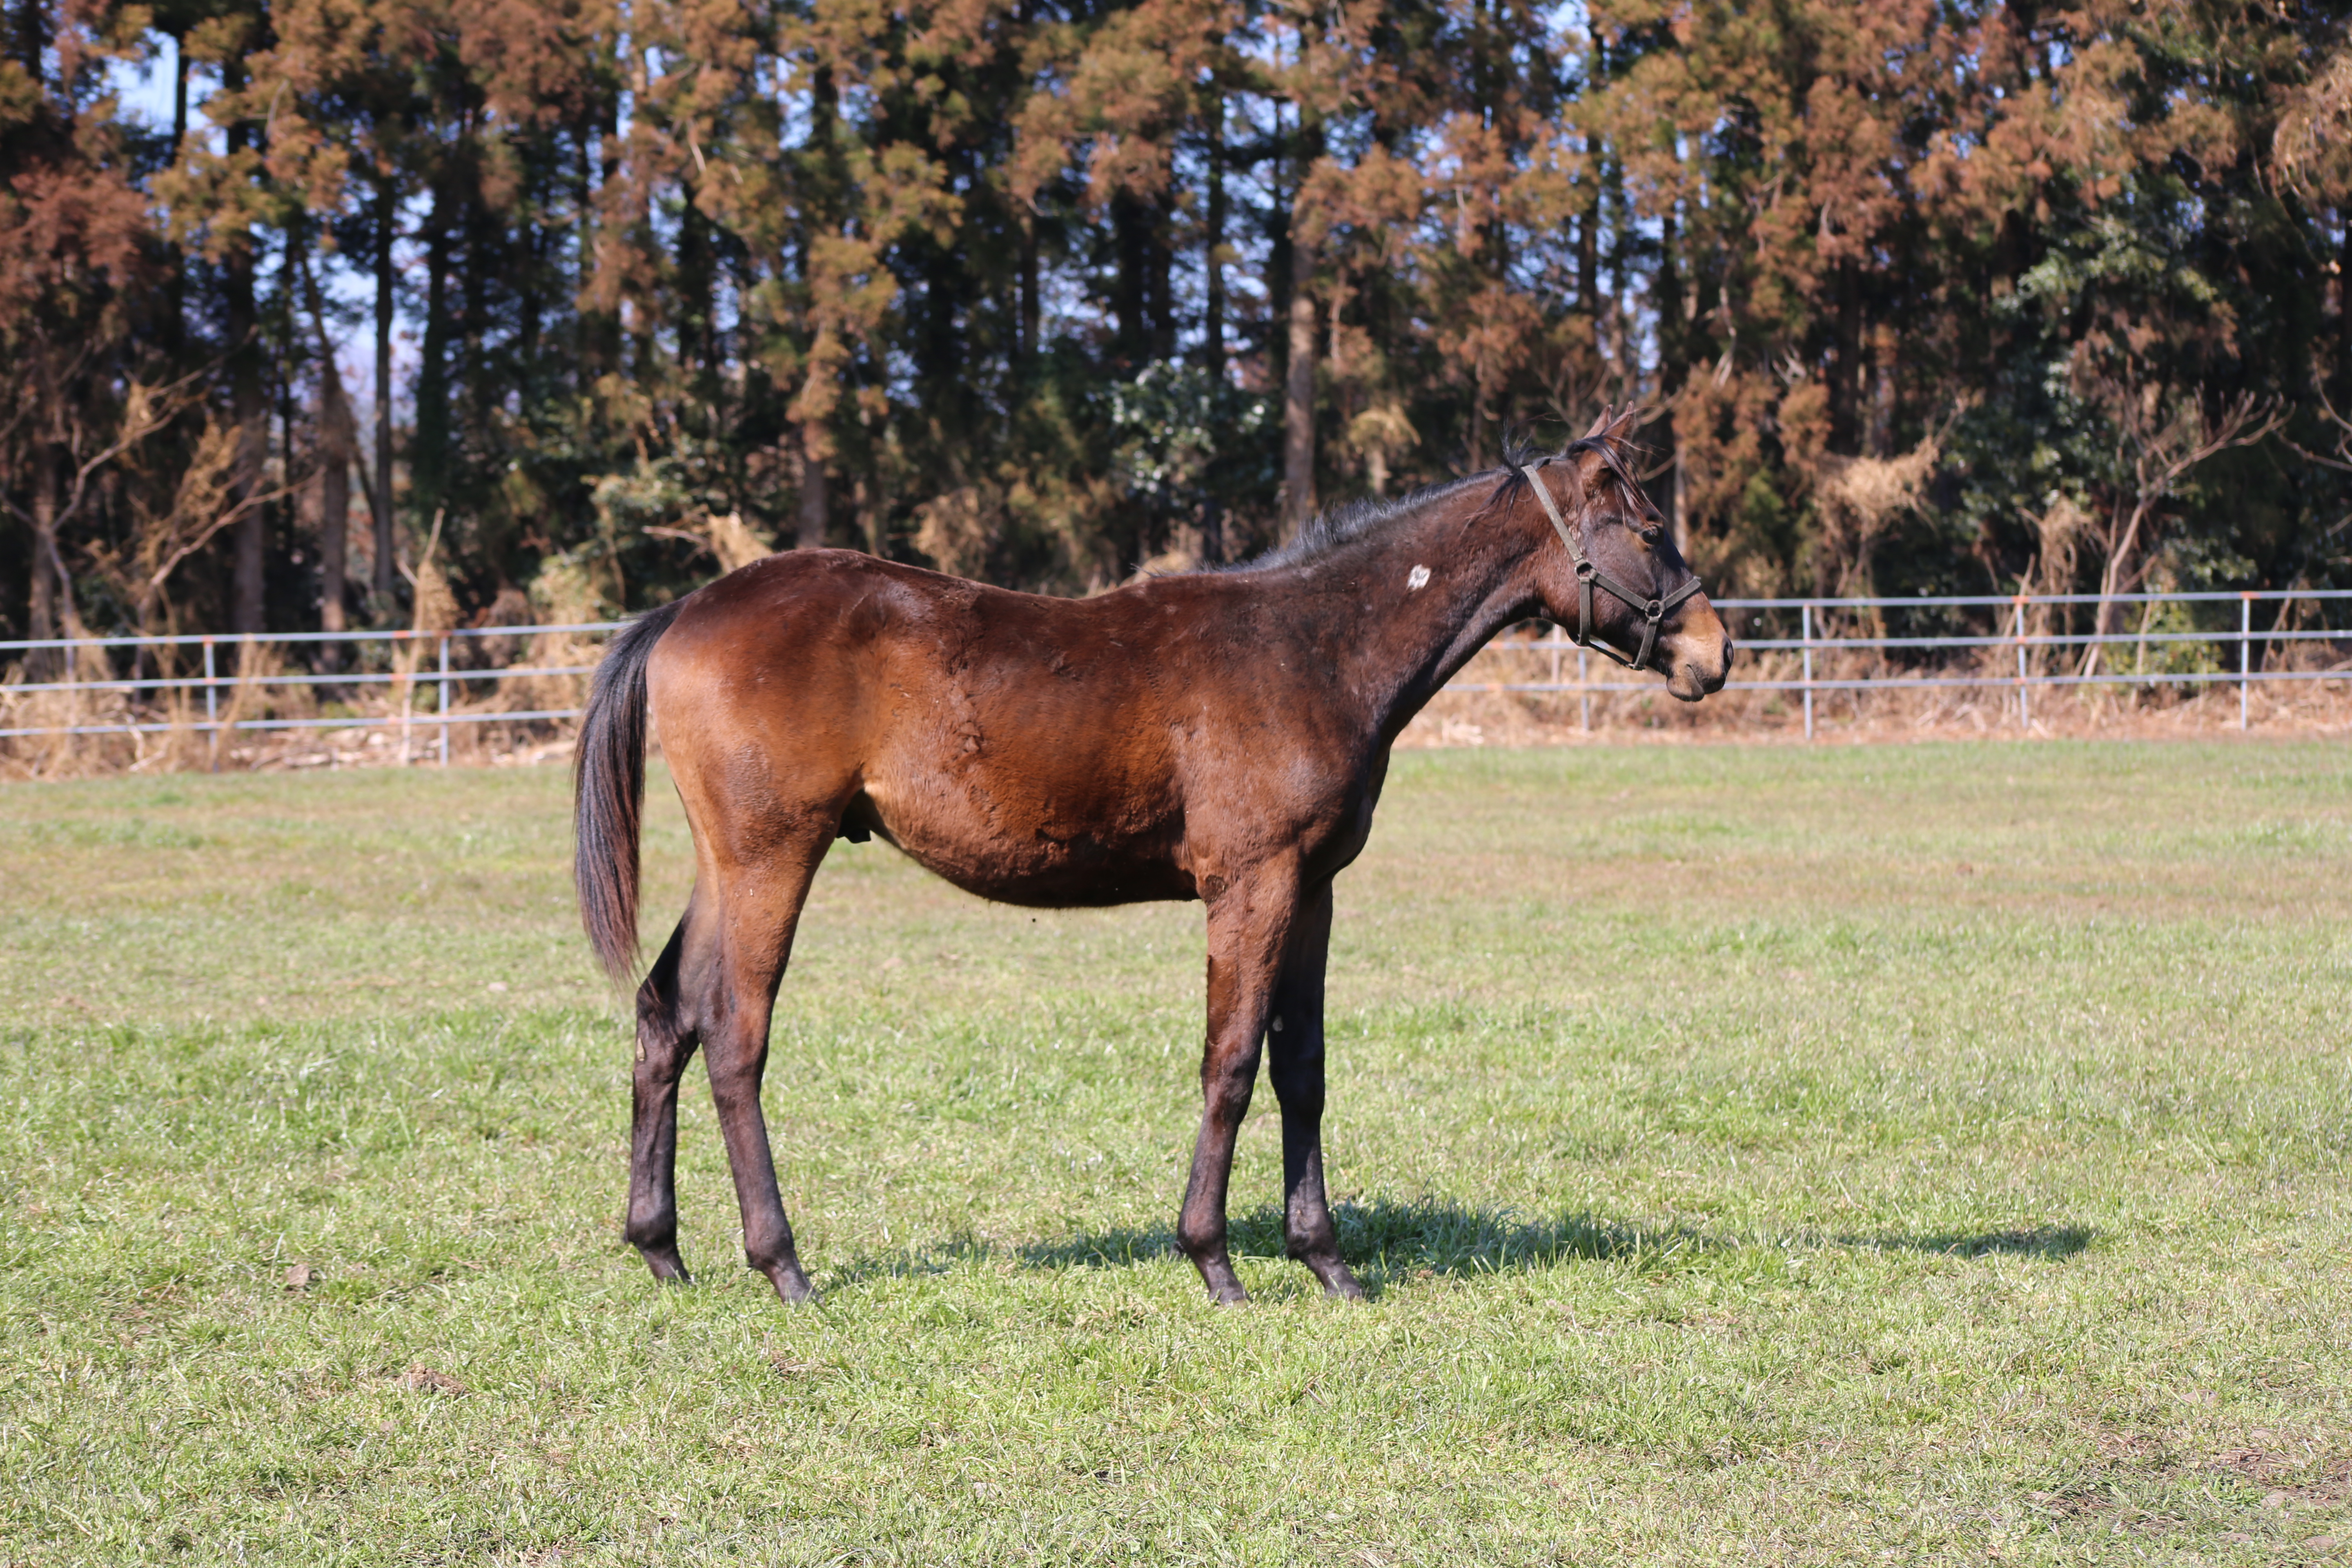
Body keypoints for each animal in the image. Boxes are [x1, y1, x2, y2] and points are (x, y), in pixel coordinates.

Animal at [578, 411, 1740, 1307]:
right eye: (1647, 527)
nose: (1715, 653)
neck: (1312, 648)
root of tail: (685, 610)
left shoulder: (1313, 889)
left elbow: (1302, 1067)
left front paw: (1327, 1263)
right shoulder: (1250, 885)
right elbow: (1230, 1063)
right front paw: (1215, 1262)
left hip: (724, 868)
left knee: (663, 1016)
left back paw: (663, 1252)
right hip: (773, 860)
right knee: (735, 1038)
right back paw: (782, 1266)